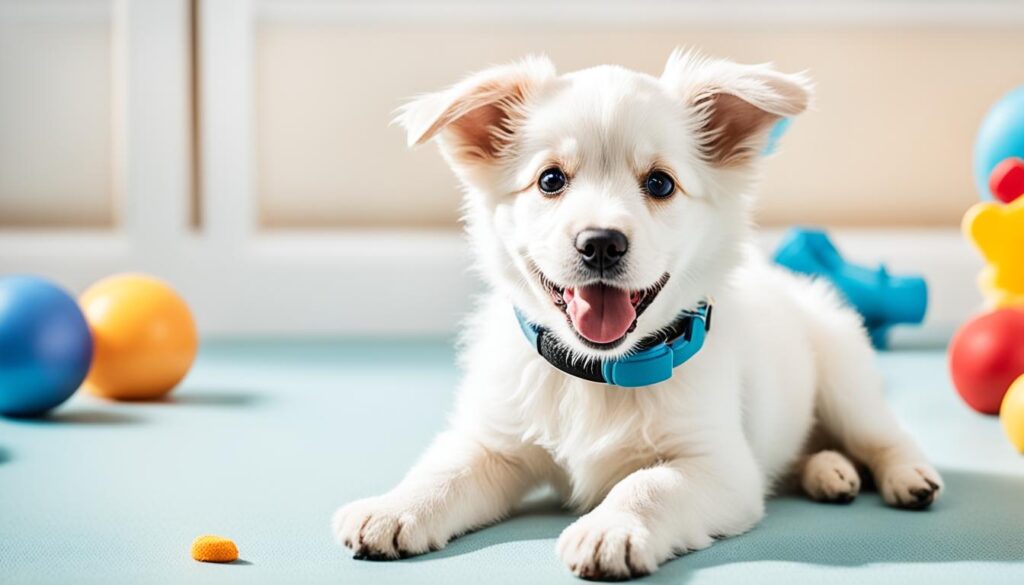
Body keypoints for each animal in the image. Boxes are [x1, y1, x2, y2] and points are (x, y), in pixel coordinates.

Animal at [331, 50, 937, 581]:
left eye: (660, 183)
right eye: (550, 180)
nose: (601, 243)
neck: (596, 374)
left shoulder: (718, 465)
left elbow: (648, 486)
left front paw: (611, 530)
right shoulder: (493, 441)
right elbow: (445, 470)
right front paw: (393, 507)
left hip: (843, 372)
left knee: (880, 434)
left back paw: (906, 475)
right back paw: (828, 471)